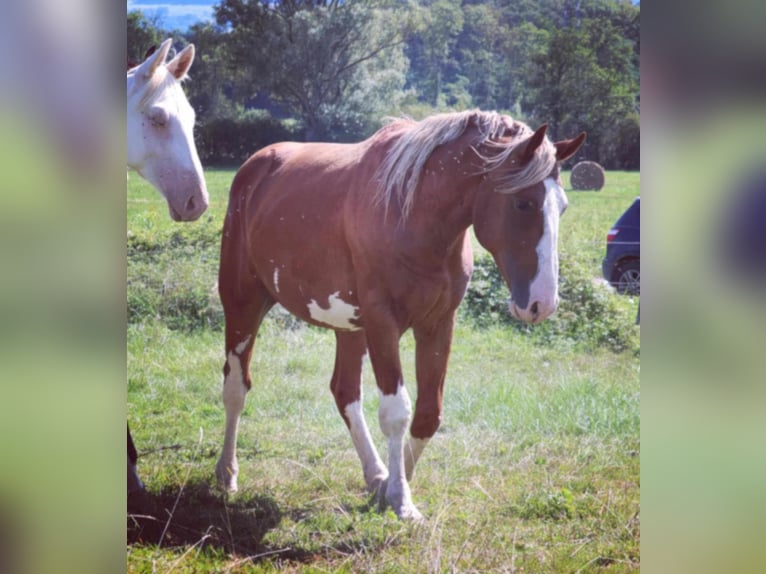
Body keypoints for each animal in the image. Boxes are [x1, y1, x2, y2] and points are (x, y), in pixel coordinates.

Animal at [216, 110, 588, 520]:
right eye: (523, 203)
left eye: (562, 206)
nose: (543, 303)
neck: (413, 215)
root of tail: (255, 165)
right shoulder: (383, 324)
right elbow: (396, 412)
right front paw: (401, 499)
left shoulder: (438, 324)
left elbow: (427, 414)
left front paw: (390, 489)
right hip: (243, 304)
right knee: (235, 388)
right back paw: (227, 474)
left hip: (349, 326)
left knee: (345, 392)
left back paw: (375, 472)